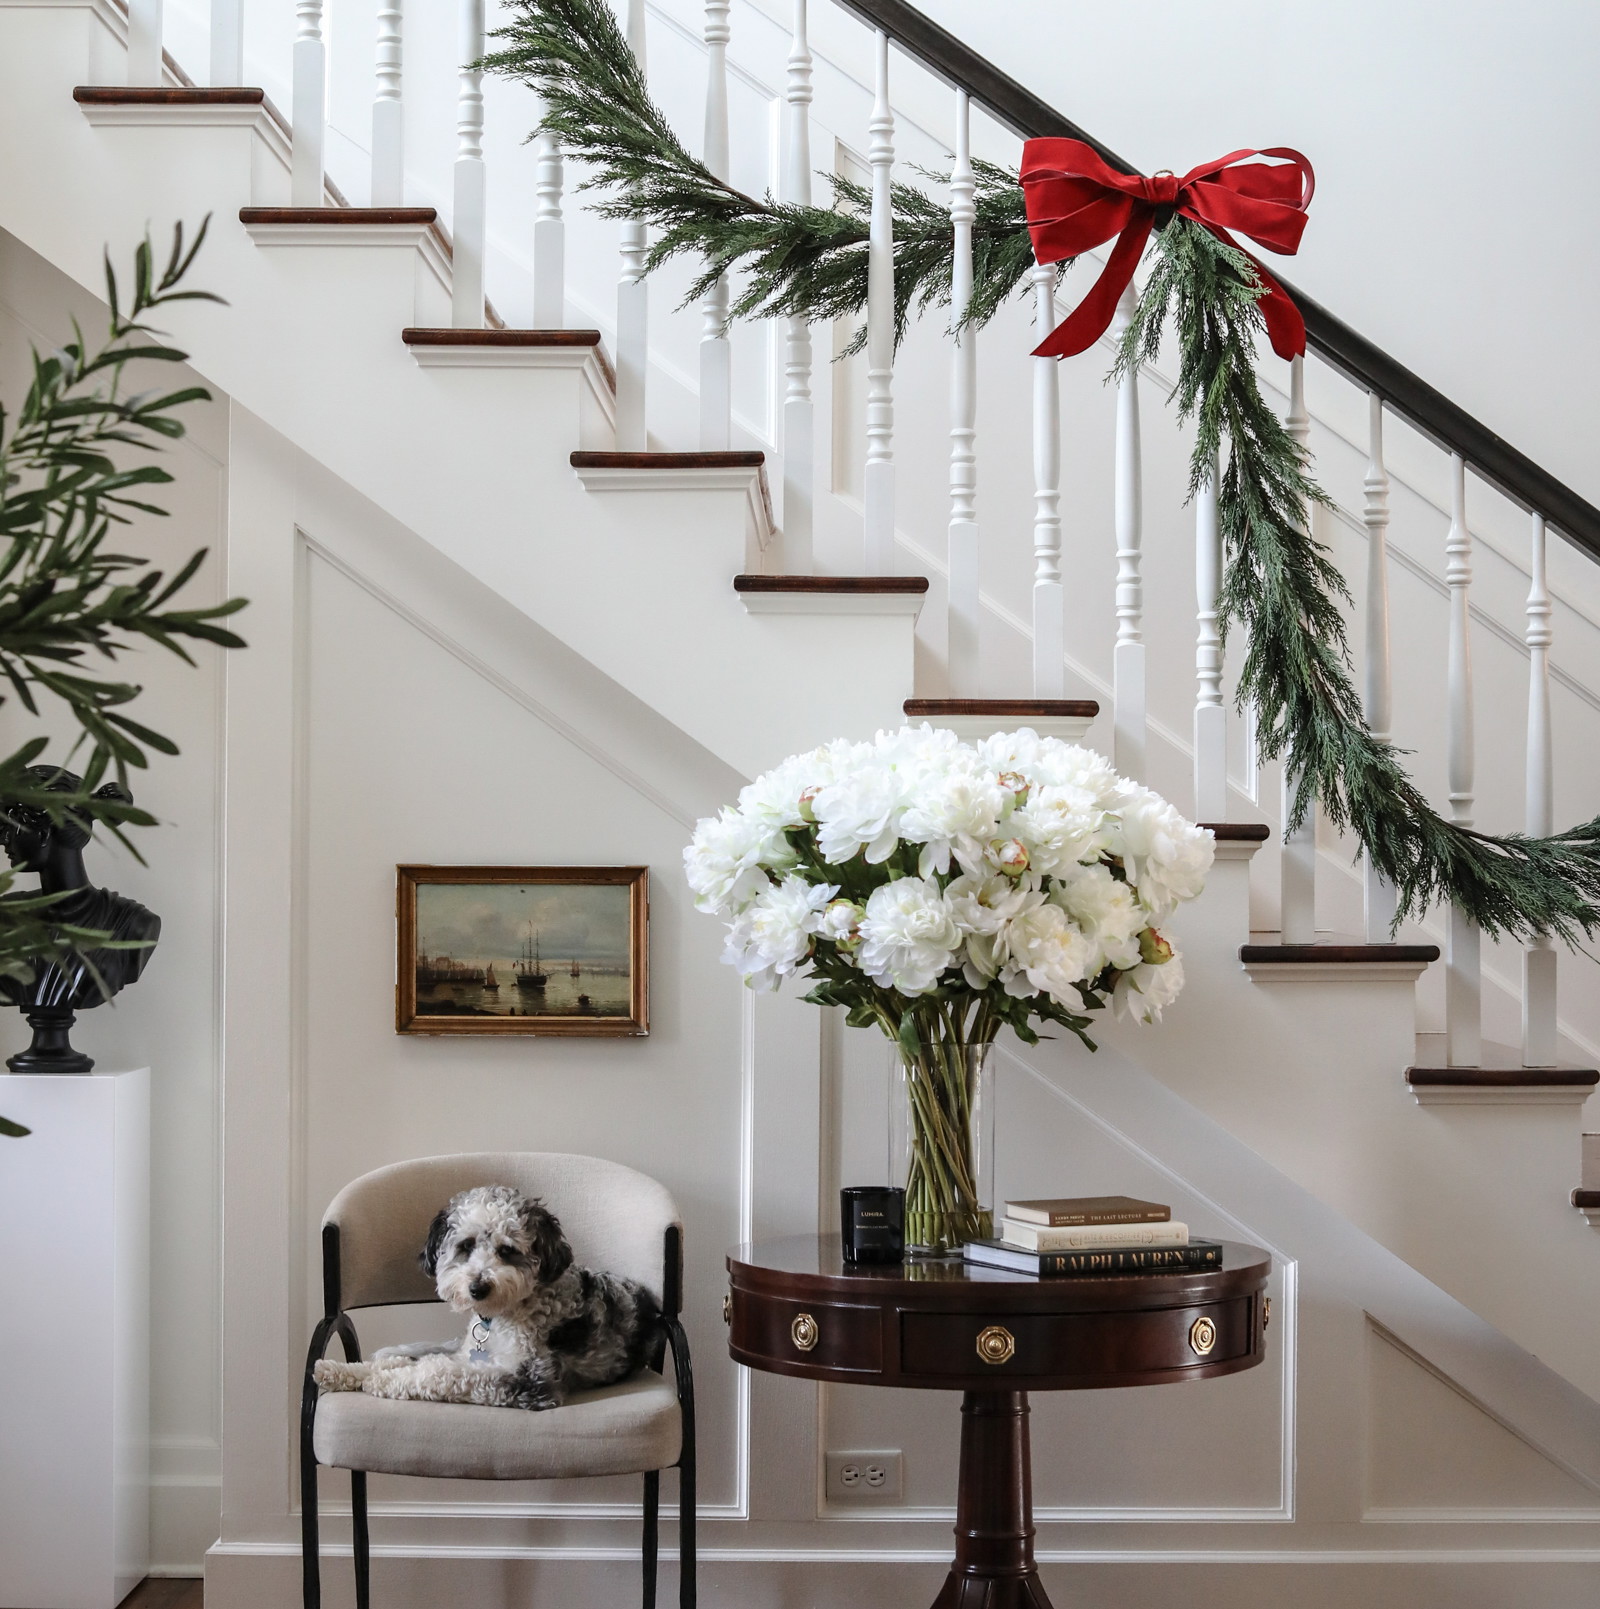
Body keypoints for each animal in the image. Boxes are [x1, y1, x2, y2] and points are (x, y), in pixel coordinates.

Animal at [312, 1184, 659, 1409]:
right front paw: (340, 1371)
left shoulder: (530, 1379)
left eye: (507, 1250)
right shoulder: (468, 1354)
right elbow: (412, 1361)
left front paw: (385, 1382)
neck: (501, 1317)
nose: (477, 1288)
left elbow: (443, 1372)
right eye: (465, 1245)